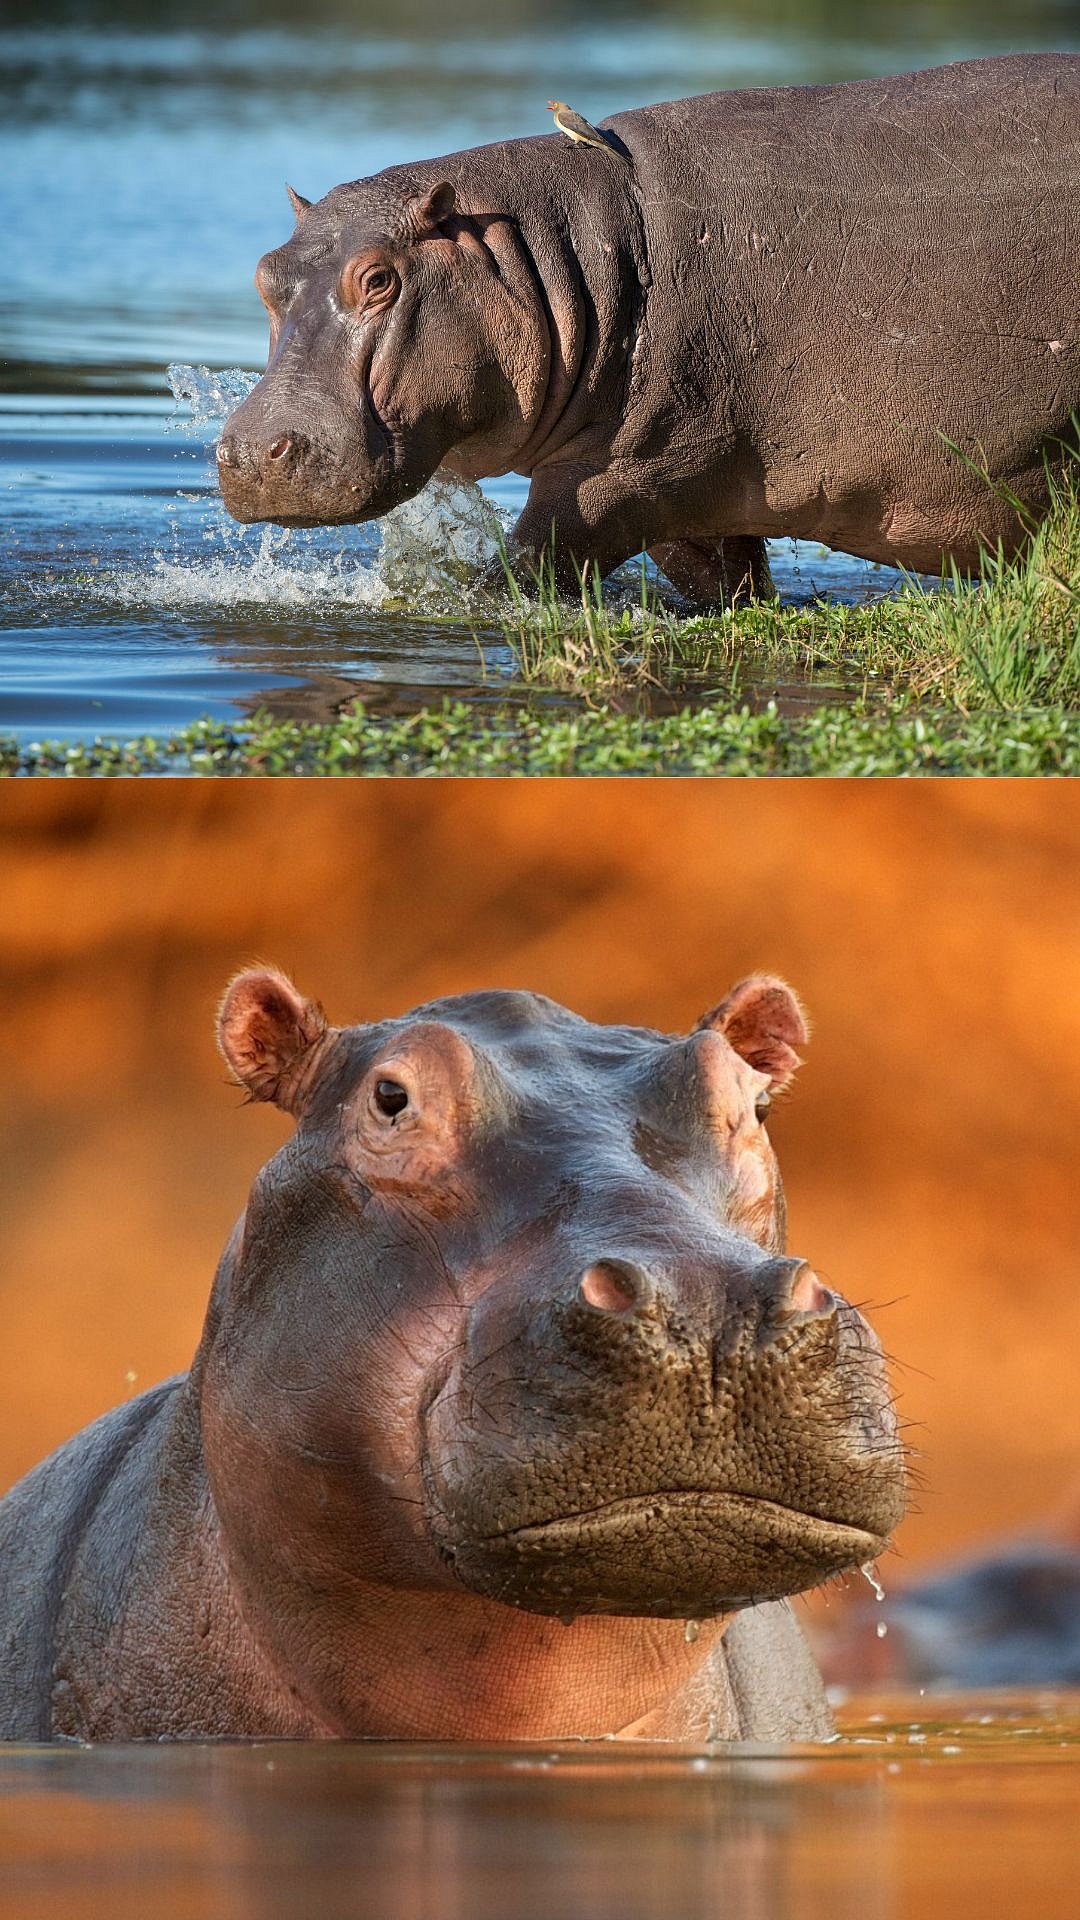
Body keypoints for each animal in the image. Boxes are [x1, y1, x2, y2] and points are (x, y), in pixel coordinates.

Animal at [217, 53, 1080, 606]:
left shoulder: (621, 476)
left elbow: (522, 569)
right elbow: (727, 583)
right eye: (263, 273)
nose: (252, 451)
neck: (553, 254)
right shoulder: (691, 491)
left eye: (378, 279)